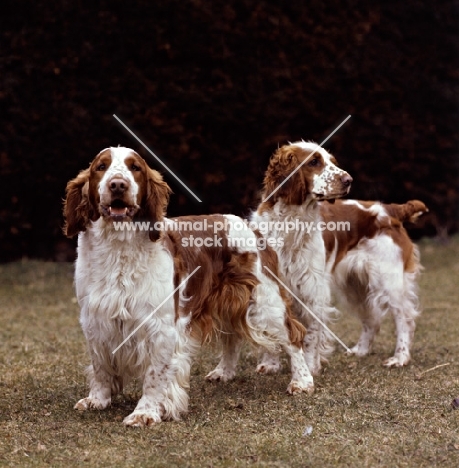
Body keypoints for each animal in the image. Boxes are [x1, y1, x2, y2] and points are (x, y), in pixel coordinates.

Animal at [63, 147, 312, 428]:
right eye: (101, 167)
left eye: (135, 167)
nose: (118, 185)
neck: (118, 248)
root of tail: (251, 227)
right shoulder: (95, 320)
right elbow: (100, 366)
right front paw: (98, 399)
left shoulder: (160, 327)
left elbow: (155, 375)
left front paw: (145, 413)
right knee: (233, 338)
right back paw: (223, 372)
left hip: (264, 302)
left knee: (294, 335)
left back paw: (302, 381)